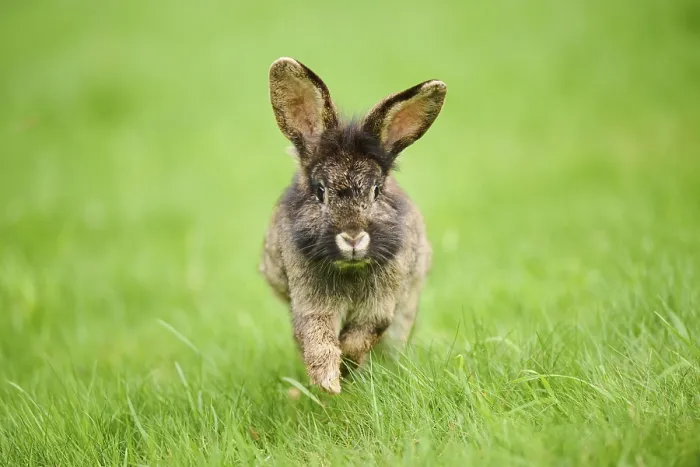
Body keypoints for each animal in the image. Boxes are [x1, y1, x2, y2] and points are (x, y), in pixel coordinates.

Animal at [260, 57, 446, 394]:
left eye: (376, 190)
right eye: (320, 190)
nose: (352, 237)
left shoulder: (381, 306)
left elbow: (362, 336)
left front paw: (346, 368)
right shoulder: (310, 304)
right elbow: (317, 338)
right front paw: (329, 383)